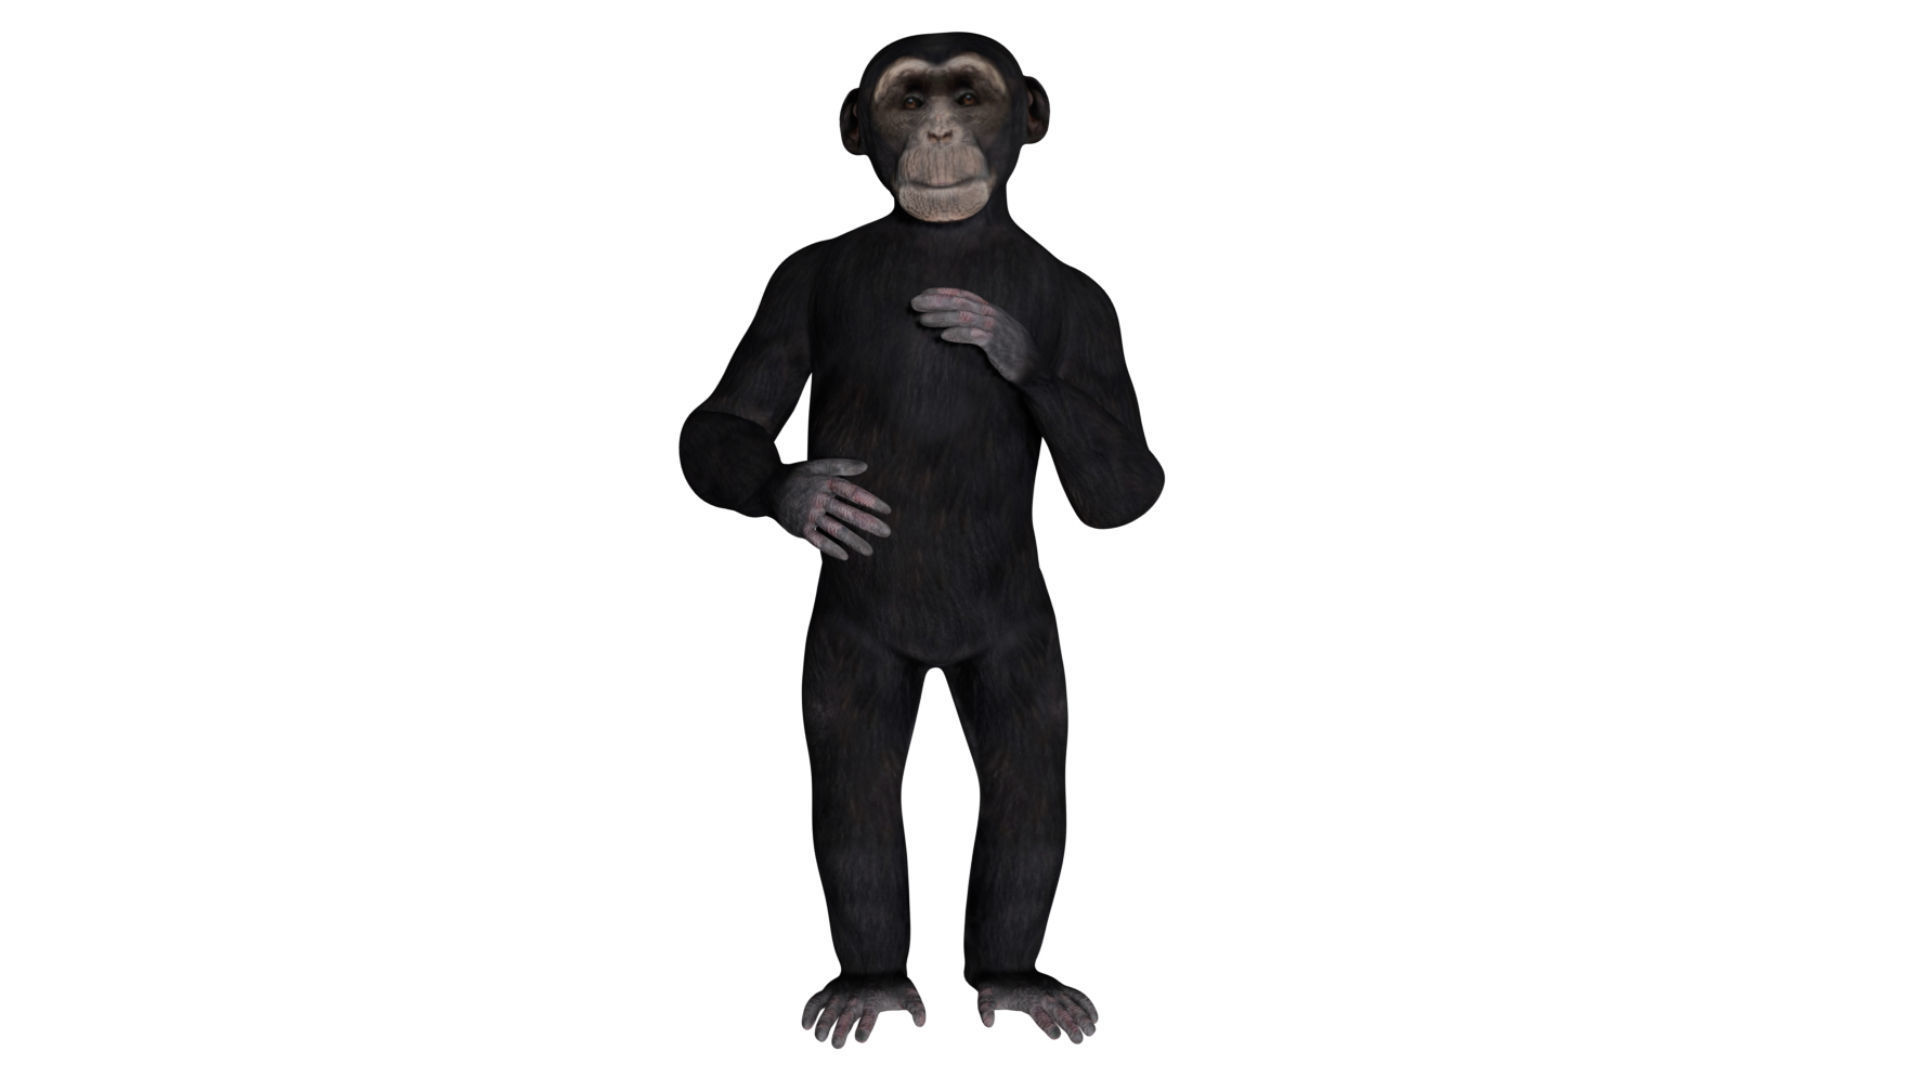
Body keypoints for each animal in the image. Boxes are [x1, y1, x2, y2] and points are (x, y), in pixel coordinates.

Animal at [679, 32, 1162, 1047]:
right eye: (909, 100)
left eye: (968, 95)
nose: (938, 131)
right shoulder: (790, 277)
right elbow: (724, 415)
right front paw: (804, 495)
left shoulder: (1098, 307)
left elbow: (1131, 487)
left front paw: (1002, 341)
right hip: (851, 650)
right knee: (853, 777)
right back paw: (871, 980)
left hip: (1018, 646)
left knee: (1028, 770)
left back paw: (1013, 977)